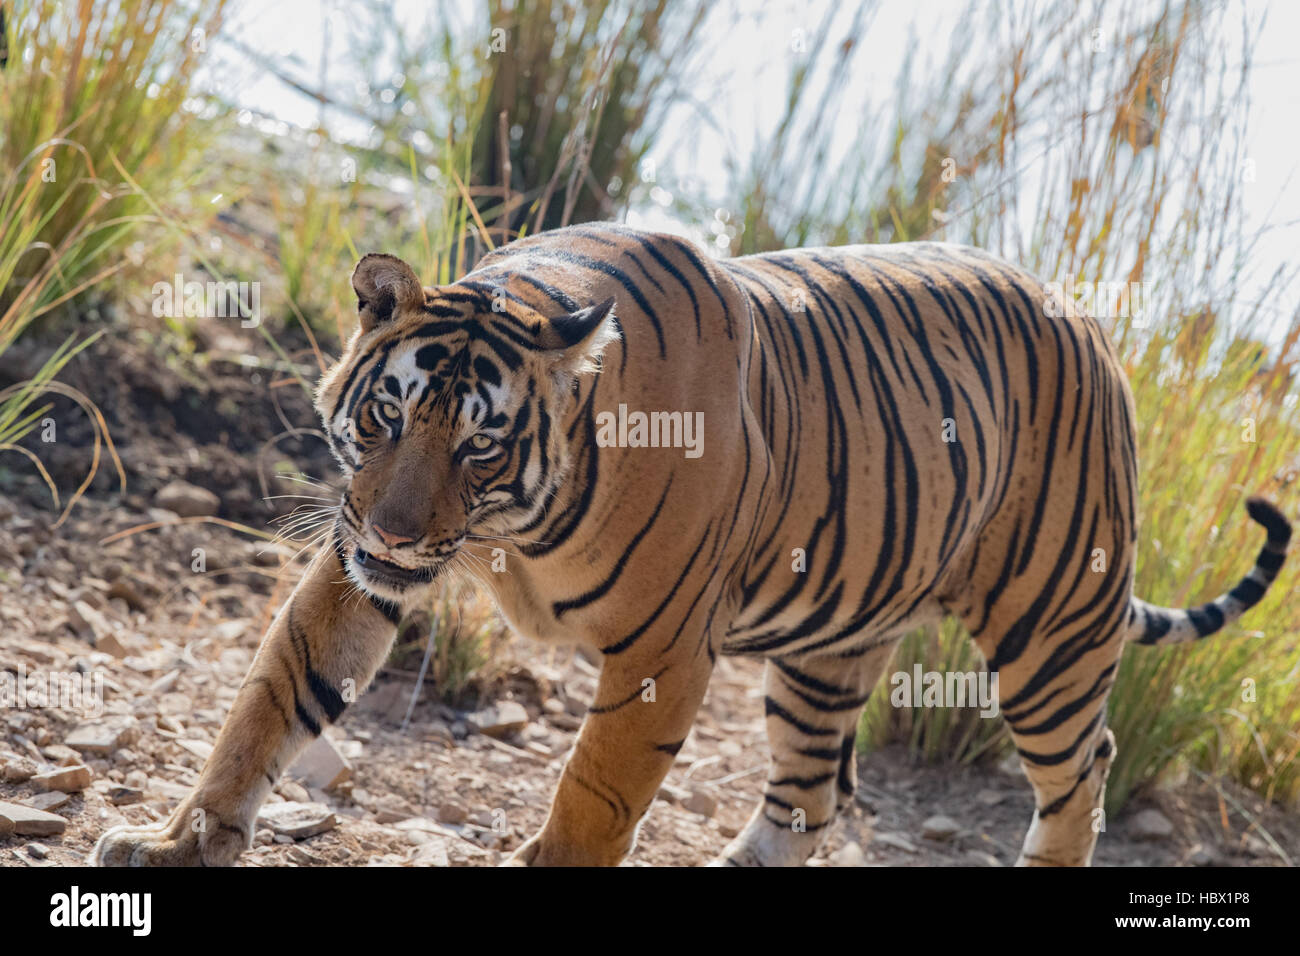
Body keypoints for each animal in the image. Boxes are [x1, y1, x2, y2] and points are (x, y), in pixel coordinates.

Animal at [92, 222, 1290, 867]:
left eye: (480, 445)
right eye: (388, 415)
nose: (393, 529)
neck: (508, 530)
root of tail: (1086, 316)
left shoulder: (663, 654)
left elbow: (592, 795)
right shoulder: (359, 577)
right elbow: (265, 707)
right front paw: (179, 841)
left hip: (1051, 626)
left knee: (1083, 767)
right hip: (827, 652)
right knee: (810, 794)